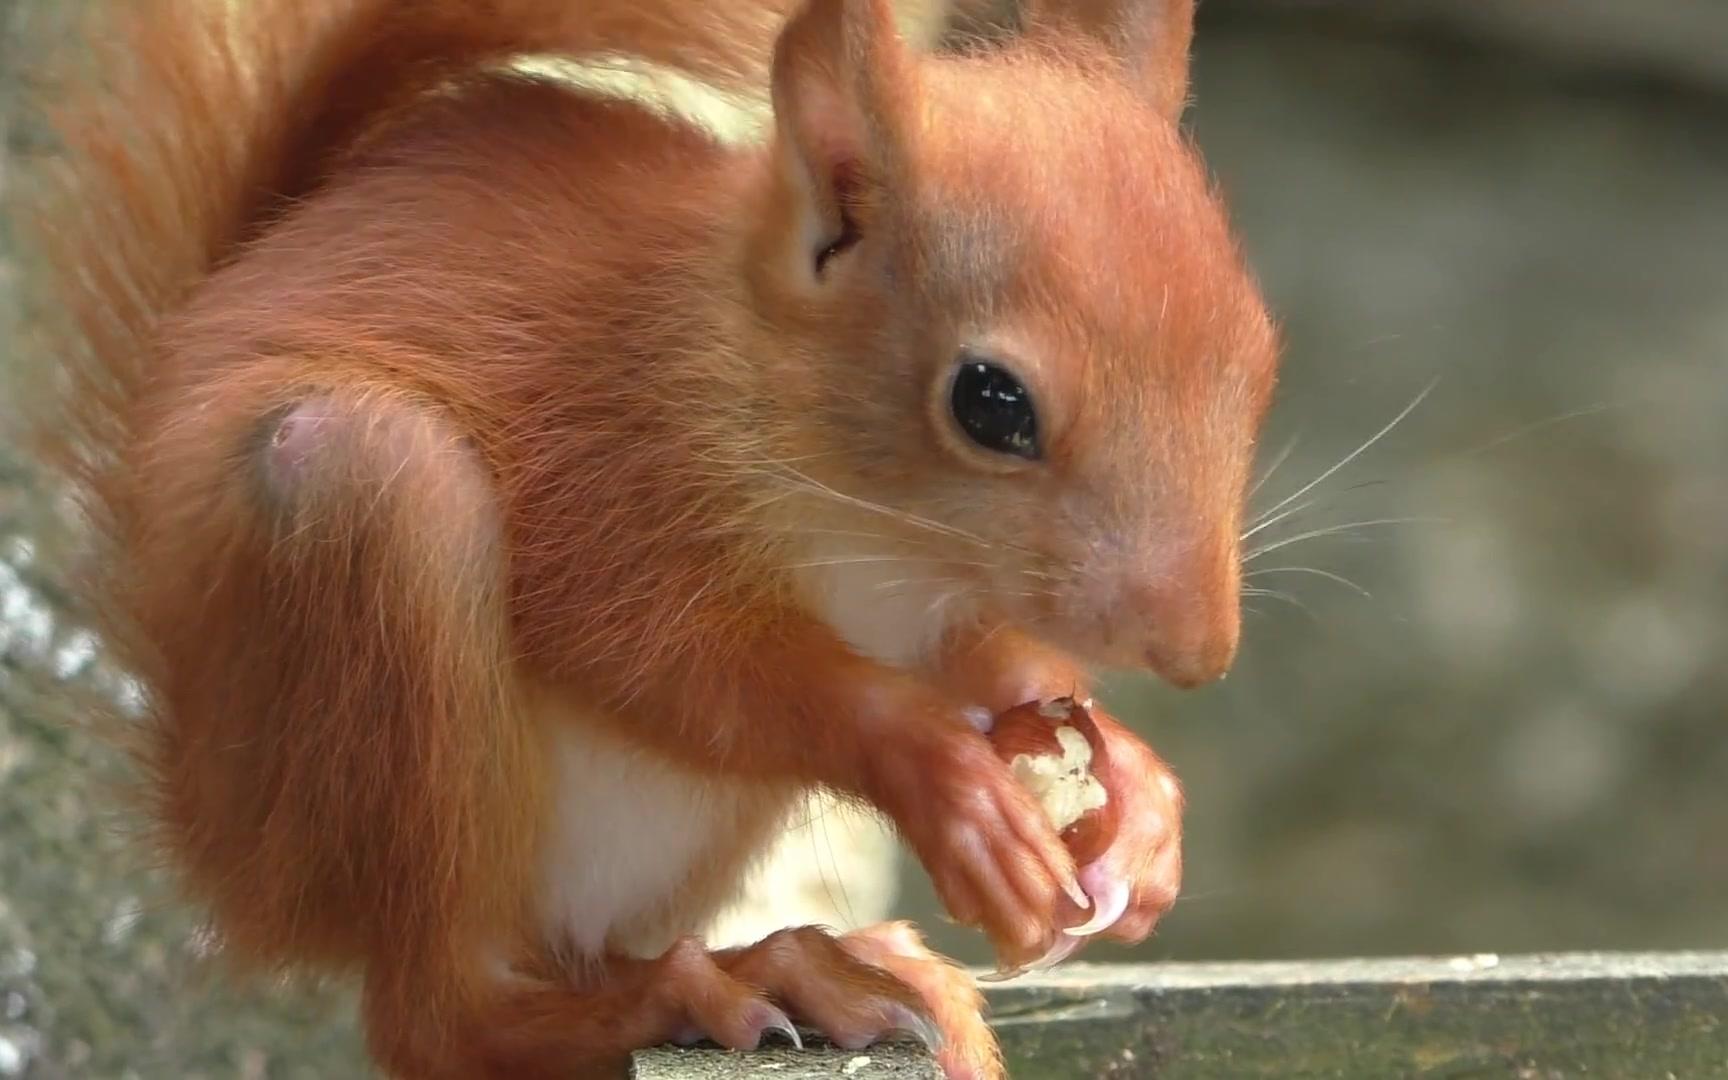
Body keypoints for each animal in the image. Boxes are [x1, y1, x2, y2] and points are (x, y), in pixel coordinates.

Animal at [13, 0, 1278, 1071]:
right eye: (990, 402)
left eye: (1261, 354)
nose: (1197, 652)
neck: (883, 537)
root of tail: (212, 823)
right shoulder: (607, 465)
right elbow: (670, 661)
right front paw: (941, 777)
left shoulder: (932, 601)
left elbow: (990, 666)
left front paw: (1135, 793)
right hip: (365, 530)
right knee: (441, 1018)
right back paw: (690, 991)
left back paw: (813, 961)